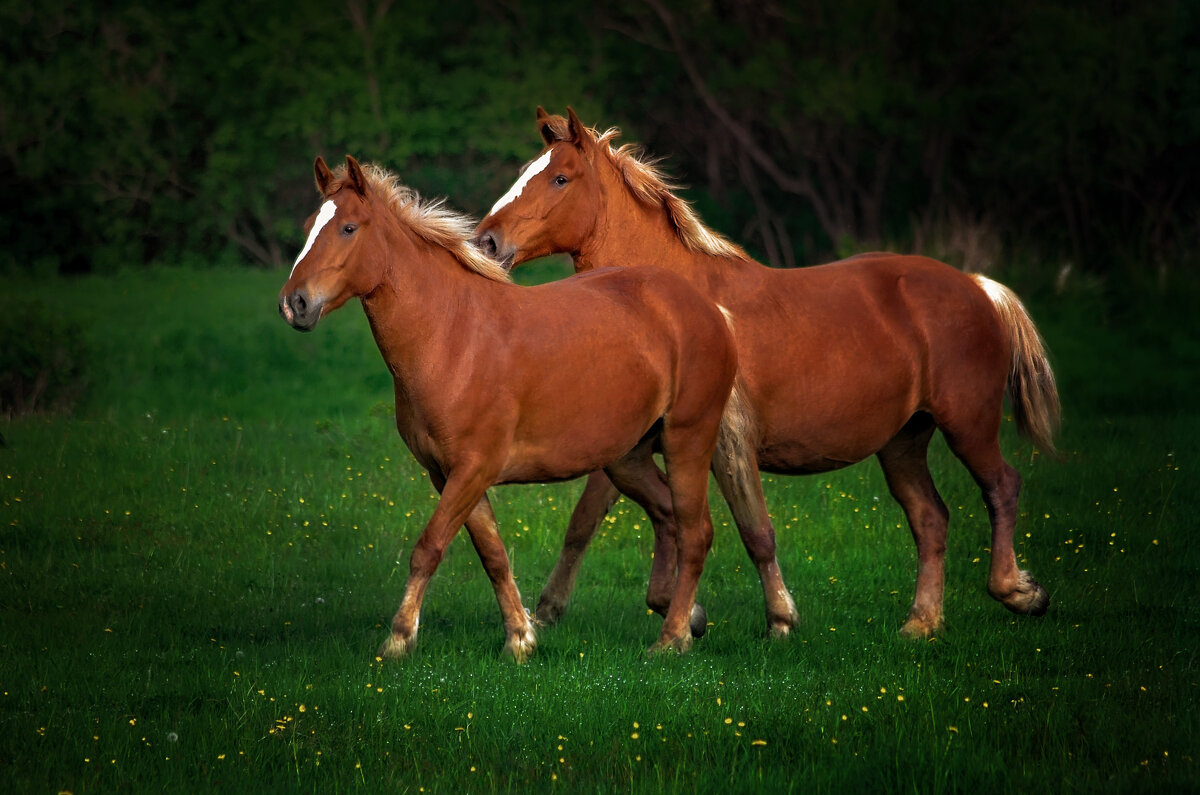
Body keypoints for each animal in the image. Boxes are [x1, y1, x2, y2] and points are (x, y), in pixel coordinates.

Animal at [276, 156, 734, 658]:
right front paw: (520, 638)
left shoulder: (472, 470)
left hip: (687, 439)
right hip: (626, 459)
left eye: (348, 228)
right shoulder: (448, 475)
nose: (294, 304)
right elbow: (493, 555)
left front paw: (398, 638)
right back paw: (687, 618)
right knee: (668, 517)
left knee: (695, 532)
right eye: (309, 226)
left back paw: (670, 639)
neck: (451, 336)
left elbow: (429, 547)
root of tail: (709, 309)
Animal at [472, 107, 1065, 643]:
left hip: (968, 424)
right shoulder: (637, 442)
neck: (674, 302)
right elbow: (597, 518)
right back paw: (921, 624)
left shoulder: (726, 440)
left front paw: (776, 618)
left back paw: (1019, 592)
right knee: (931, 518)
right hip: (902, 443)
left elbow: (752, 529)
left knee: (1001, 486)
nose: (487, 243)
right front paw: (638, 609)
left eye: (560, 177)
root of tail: (978, 286)